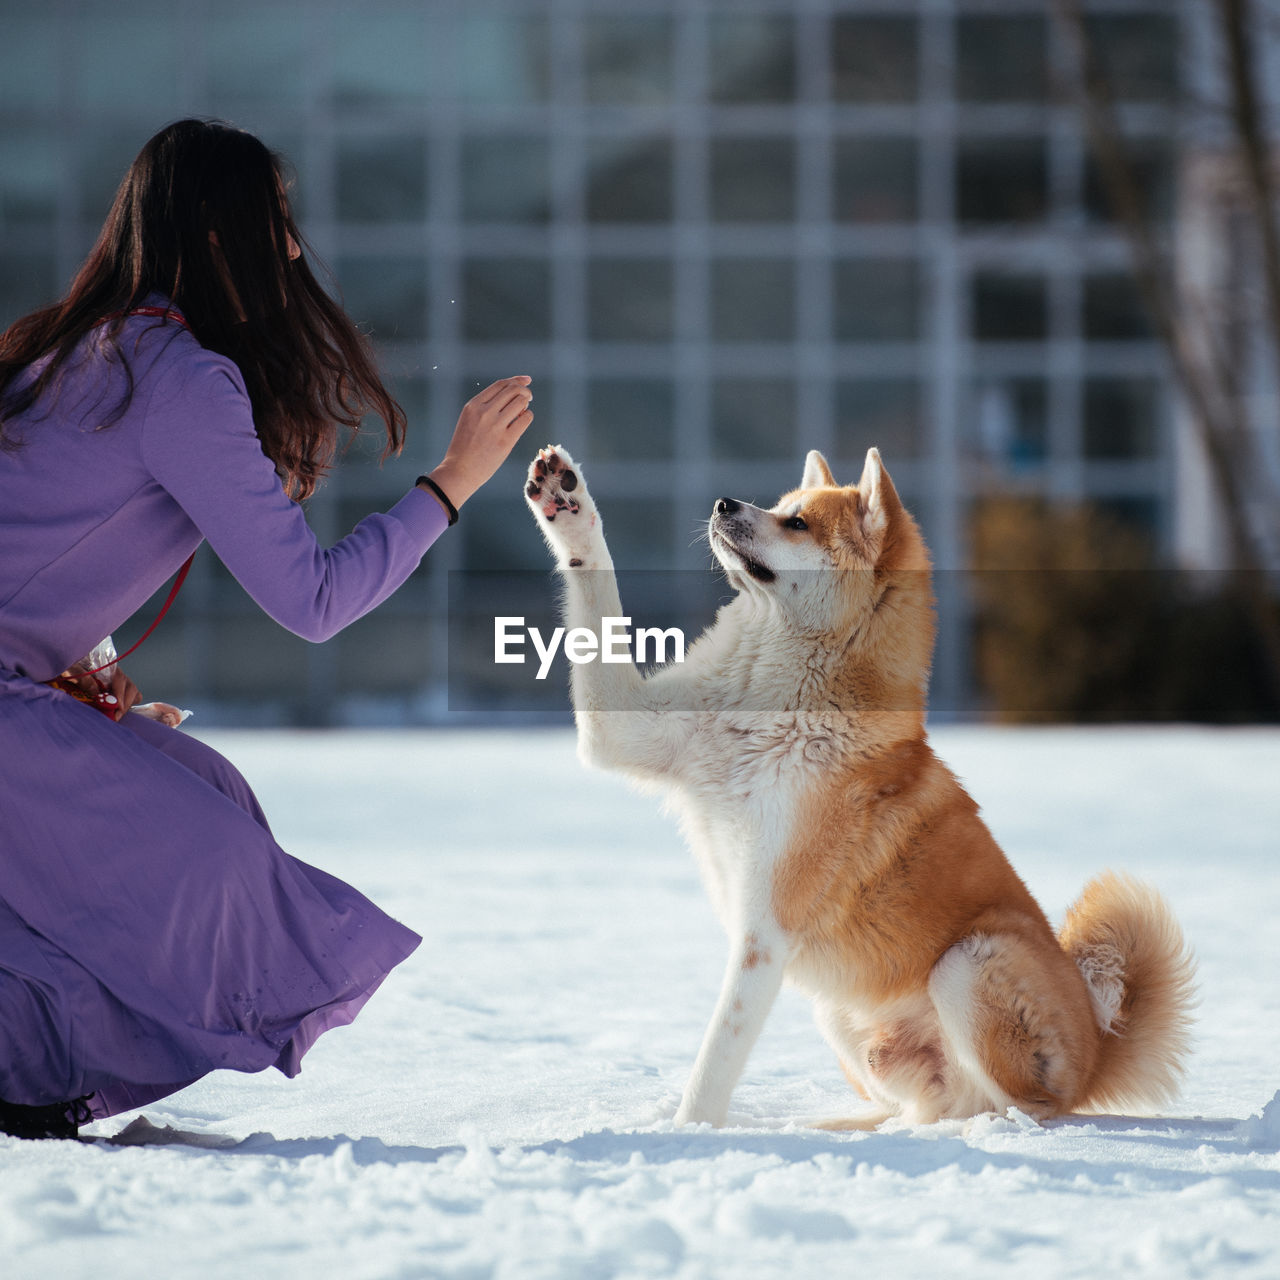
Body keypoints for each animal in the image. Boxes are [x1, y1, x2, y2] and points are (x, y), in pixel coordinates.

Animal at [522, 445, 1198, 1126]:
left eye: (797, 523)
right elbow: (595, 579)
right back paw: (848, 1125)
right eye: (780, 504)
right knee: (927, 1104)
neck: (778, 706)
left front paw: (687, 1133)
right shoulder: (625, 729)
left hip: (969, 964)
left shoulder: (766, 932)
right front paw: (567, 502)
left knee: (1013, 1104)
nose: (723, 503)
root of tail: (1095, 1054)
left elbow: (715, 1058)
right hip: (841, 1014)